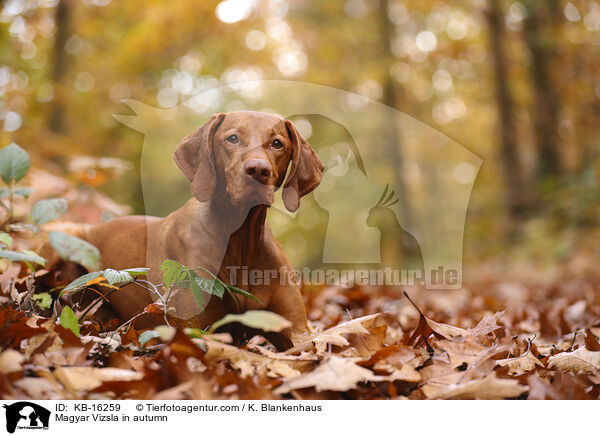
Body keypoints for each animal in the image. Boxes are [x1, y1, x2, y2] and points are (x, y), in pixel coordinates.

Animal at [81, 110, 324, 344]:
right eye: (232, 138)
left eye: (277, 143)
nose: (257, 169)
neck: (240, 238)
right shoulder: (198, 327)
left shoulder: (297, 330)